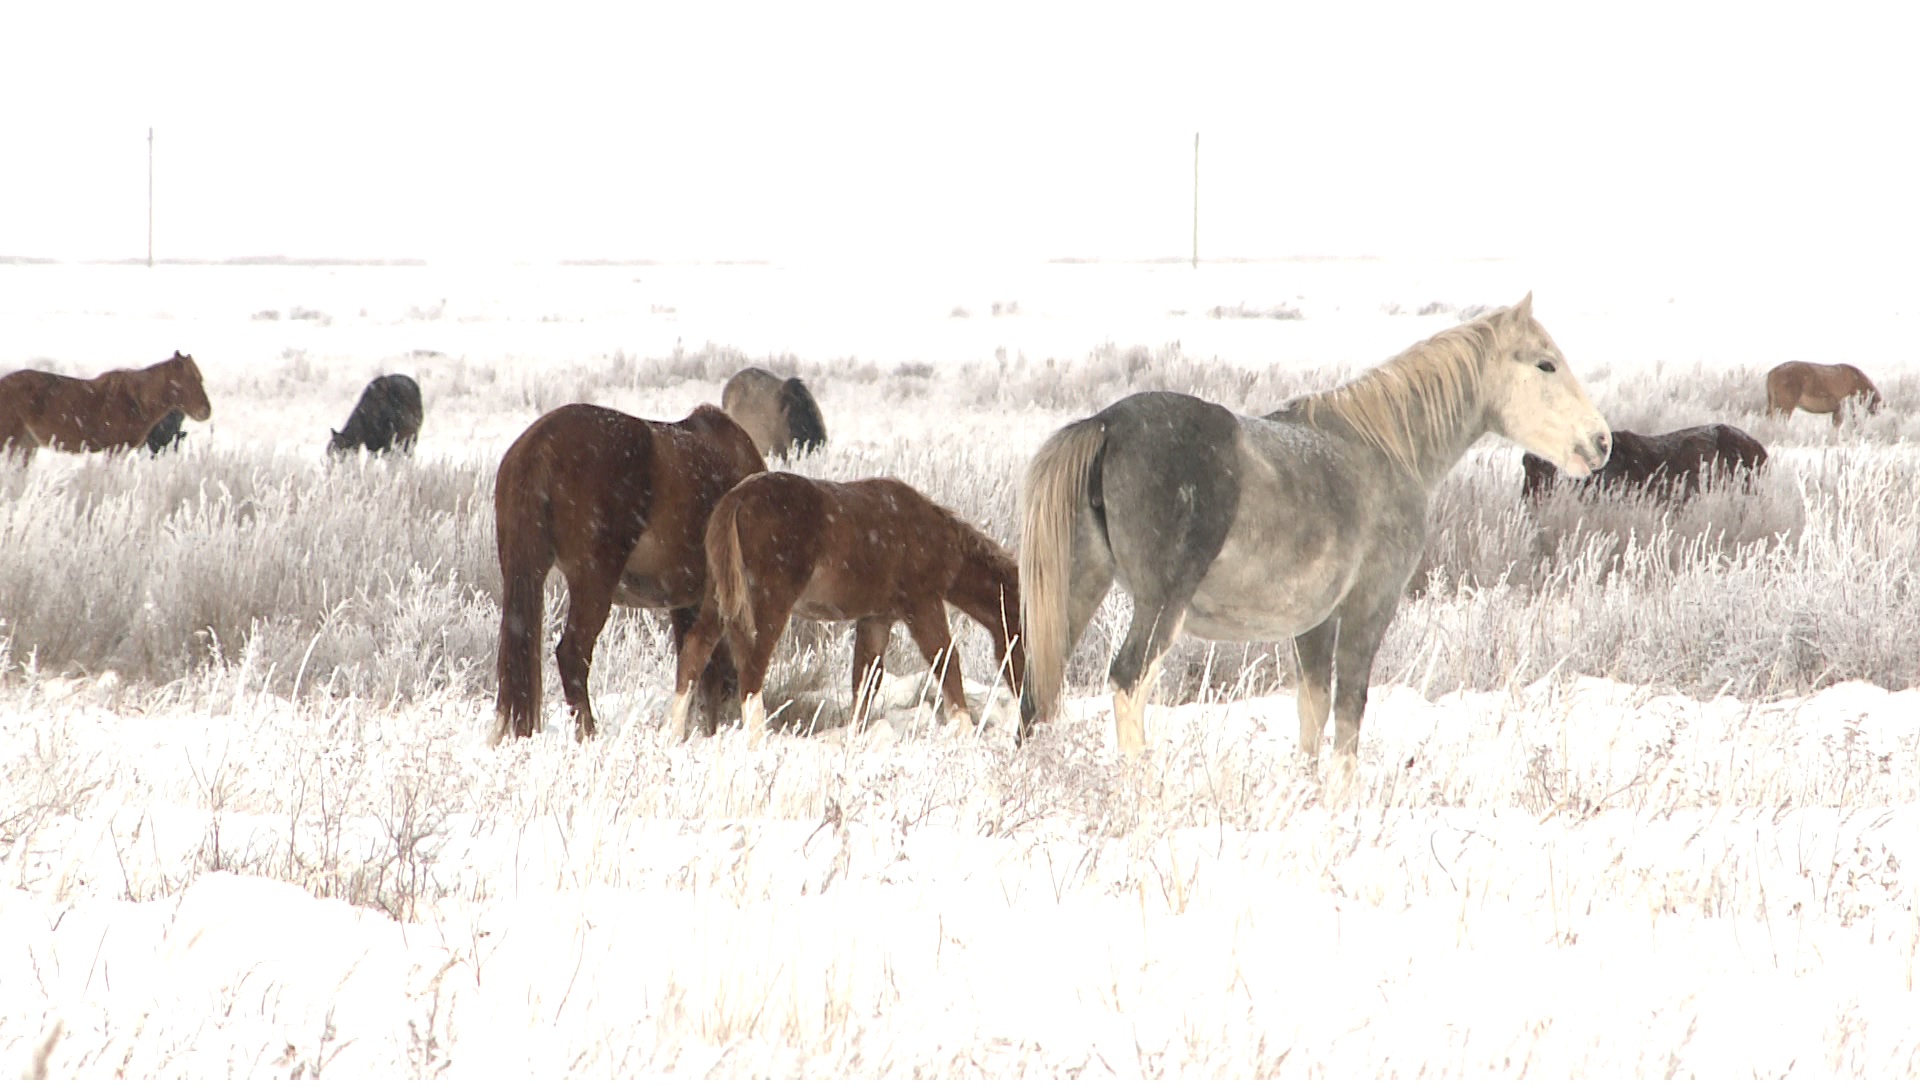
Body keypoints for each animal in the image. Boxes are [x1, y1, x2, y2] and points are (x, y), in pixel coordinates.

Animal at [668, 473, 1023, 739]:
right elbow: (946, 661)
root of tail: (736, 500)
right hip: (769, 603)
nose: (1027, 703)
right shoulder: (923, 605)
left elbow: (865, 679)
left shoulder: (876, 618)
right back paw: (757, 740)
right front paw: (966, 733)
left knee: (696, 648)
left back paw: (674, 736)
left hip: (719, 596)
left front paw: (855, 738)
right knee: (752, 663)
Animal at [1019, 294, 1610, 764]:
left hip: (1078, 589)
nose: (1601, 442)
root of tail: (1105, 424)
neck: (1386, 450)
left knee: (1035, 688)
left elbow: (1312, 711)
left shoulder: (1313, 623)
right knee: (1128, 681)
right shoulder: (1369, 606)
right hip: (1162, 605)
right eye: (1545, 364)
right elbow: (1349, 712)